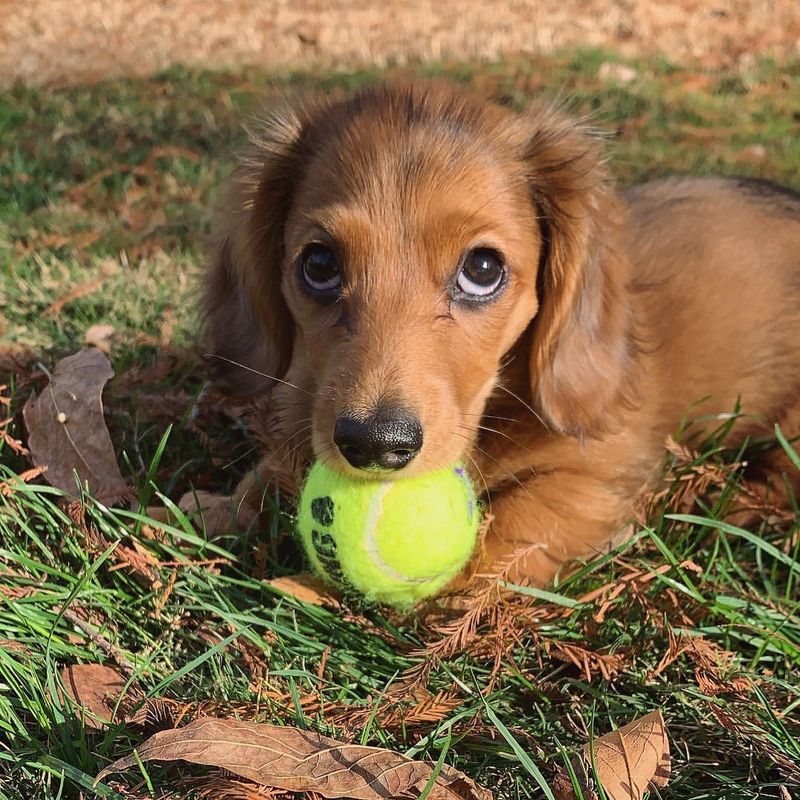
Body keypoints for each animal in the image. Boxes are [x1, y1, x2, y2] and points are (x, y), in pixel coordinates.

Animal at [205, 83, 800, 588]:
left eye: (483, 269)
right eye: (320, 264)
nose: (374, 446)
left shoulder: (600, 475)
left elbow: (513, 528)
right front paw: (218, 510)